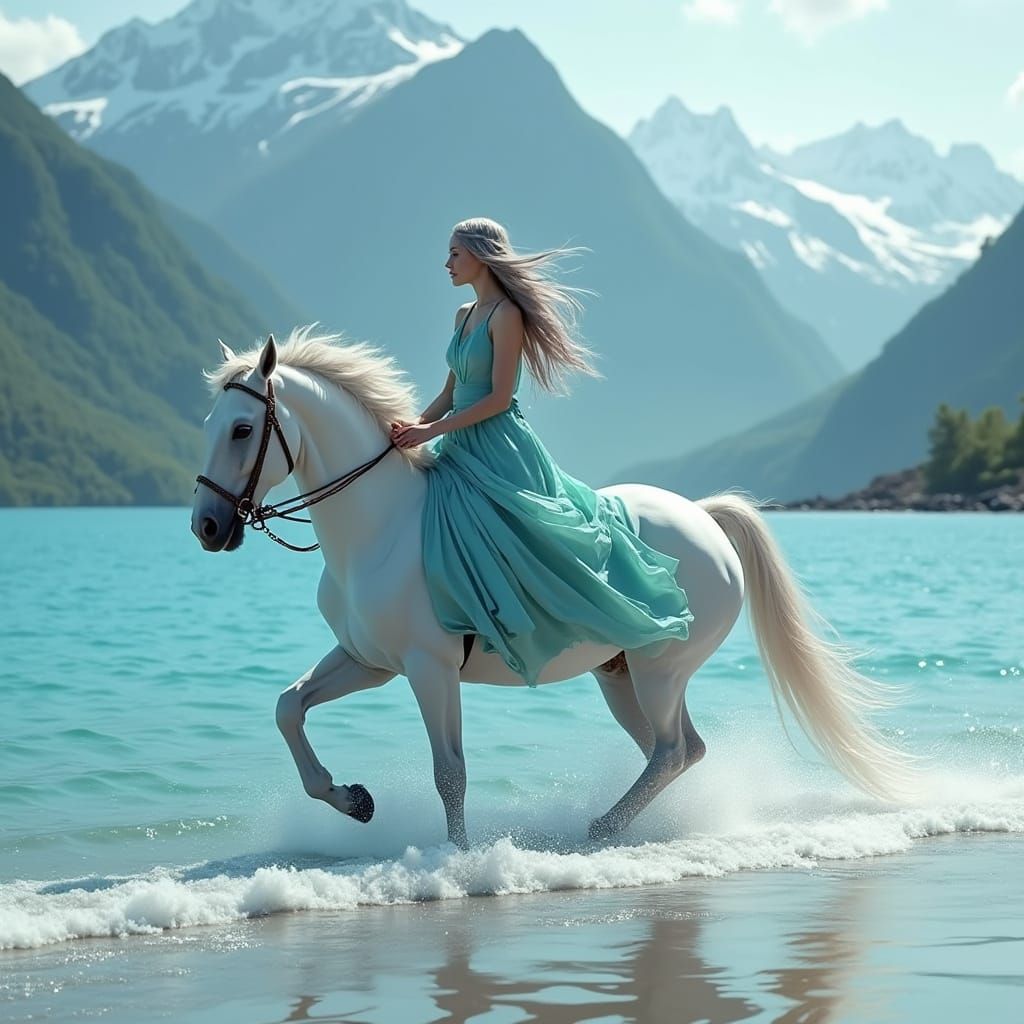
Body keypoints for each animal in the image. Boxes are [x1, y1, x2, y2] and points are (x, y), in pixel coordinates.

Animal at [191, 330, 915, 848]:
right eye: (210, 427)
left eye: (243, 429)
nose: (206, 526)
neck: (380, 528)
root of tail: (706, 517)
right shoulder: (370, 661)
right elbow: (289, 707)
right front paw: (353, 800)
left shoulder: (429, 668)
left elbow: (449, 771)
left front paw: (457, 859)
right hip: (622, 676)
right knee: (678, 751)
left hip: (660, 670)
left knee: (672, 750)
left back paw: (600, 828)